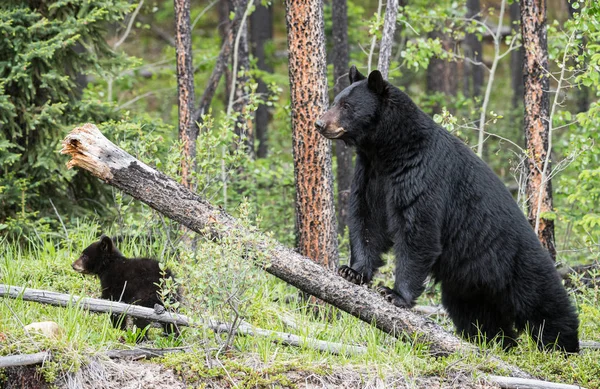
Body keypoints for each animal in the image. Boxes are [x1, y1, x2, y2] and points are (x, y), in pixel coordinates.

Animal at [316, 65, 580, 350]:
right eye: (335, 100)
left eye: (346, 106)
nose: (320, 123)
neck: (389, 150)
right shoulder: (371, 175)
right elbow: (367, 220)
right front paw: (352, 271)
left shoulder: (422, 174)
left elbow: (418, 230)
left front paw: (394, 294)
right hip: (467, 284)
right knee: (478, 316)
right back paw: (495, 342)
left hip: (518, 264)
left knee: (544, 302)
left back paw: (561, 345)